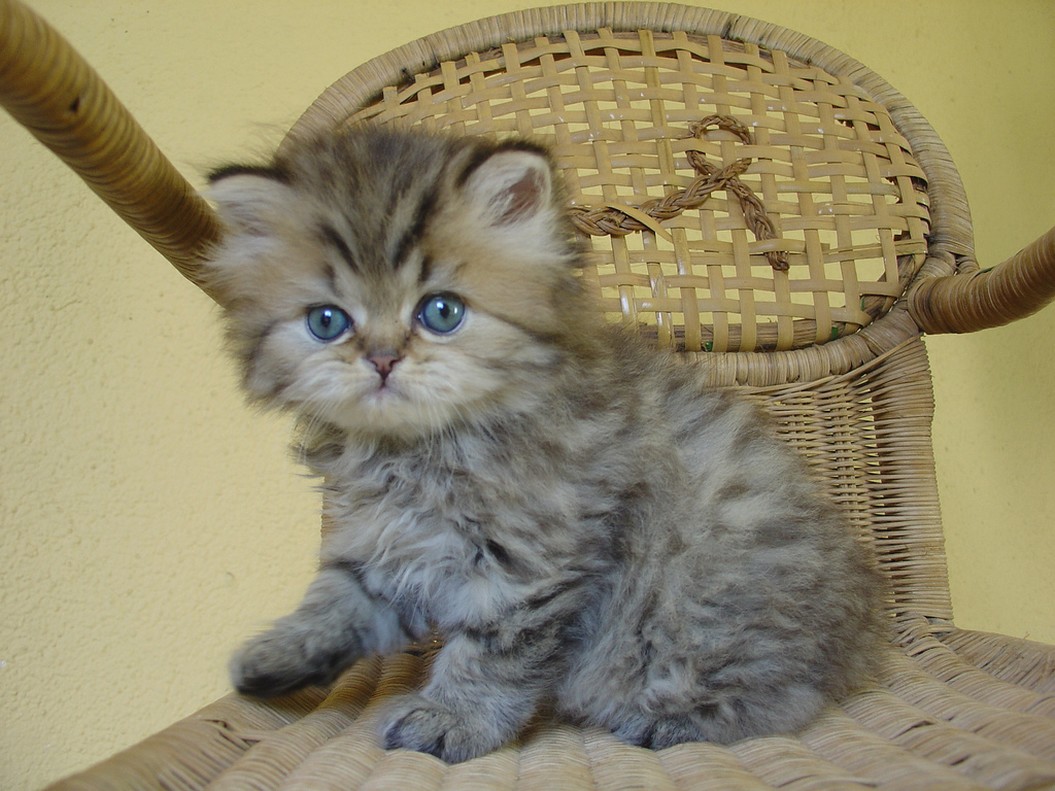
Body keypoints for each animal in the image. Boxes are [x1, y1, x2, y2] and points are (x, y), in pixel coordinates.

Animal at [201, 127, 886, 763]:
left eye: (441, 312)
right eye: (327, 322)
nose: (383, 359)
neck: (421, 450)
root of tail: (857, 641)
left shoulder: (532, 565)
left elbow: (490, 654)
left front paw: (451, 721)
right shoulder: (388, 542)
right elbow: (337, 601)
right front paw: (277, 655)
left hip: (705, 614)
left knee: (779, 700)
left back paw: (659, 722)